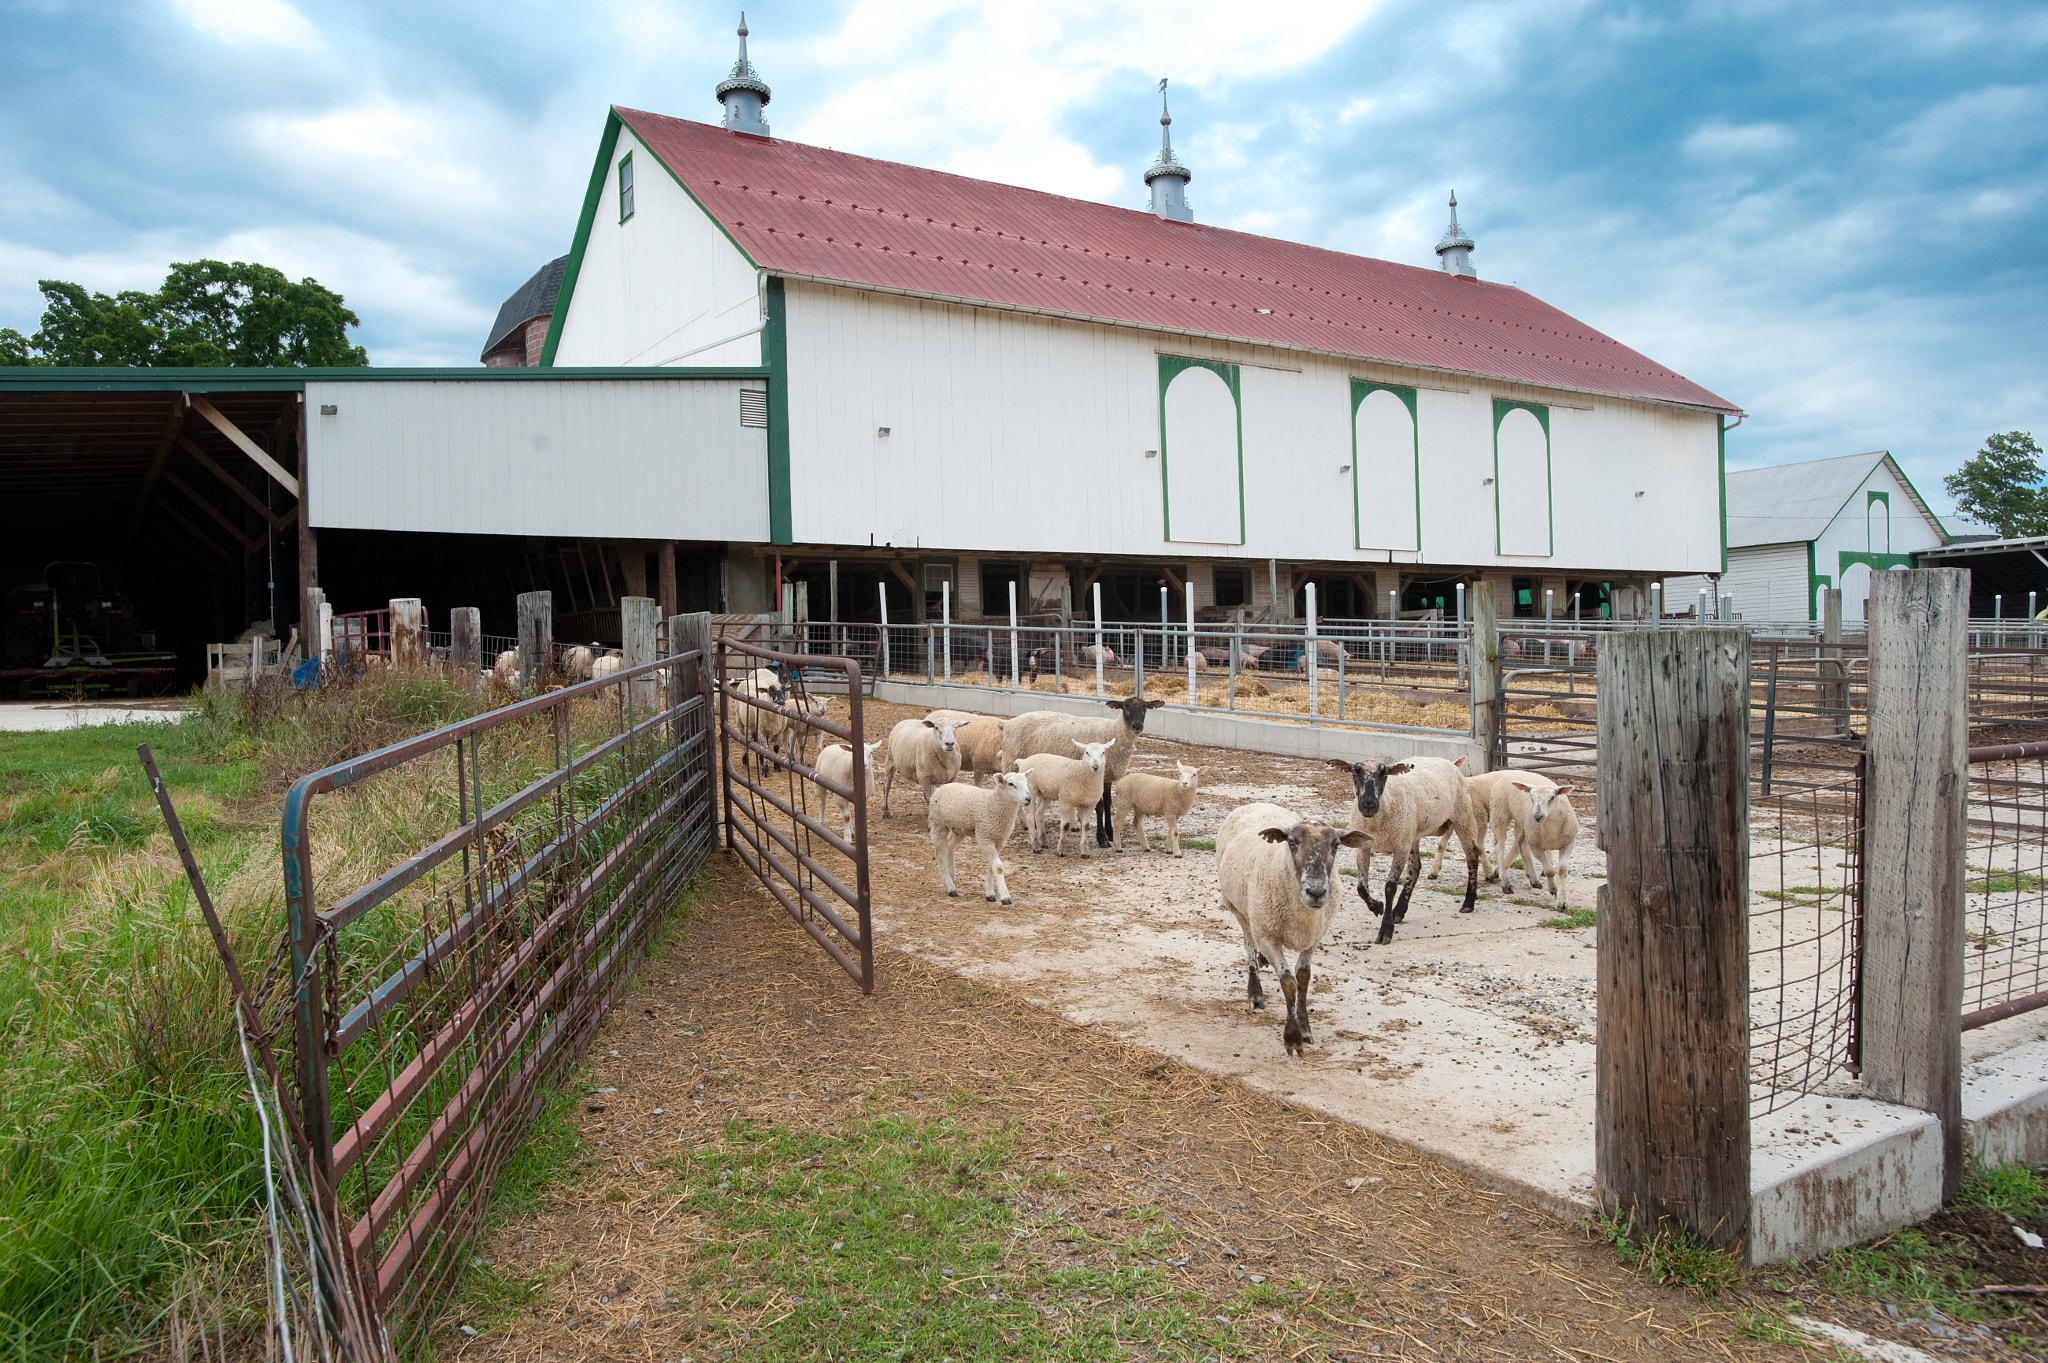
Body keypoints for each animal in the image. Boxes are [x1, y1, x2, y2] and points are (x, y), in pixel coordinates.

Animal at [995, 695, 1163, 843]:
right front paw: (1101, 838)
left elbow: (1108, 804)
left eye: (1145, 707)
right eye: (1125, 706)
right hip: (1010, 761)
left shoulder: (1106, 776)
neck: (1113, 731)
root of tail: (1007, 724)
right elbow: (1100, 807)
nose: (1137, 726)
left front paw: (1110, 834)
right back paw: (1024, 823)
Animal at [1204, 806, 1368, 1047]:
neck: (1303, 915)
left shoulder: (1314, 937)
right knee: (1249, 942)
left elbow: (1303, 977)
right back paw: (1255, 992)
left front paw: (1305, 1027)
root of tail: (1257, 803)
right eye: (1291, 842)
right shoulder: (1267, 936)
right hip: (1239, 908)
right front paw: (1292, 1035)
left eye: (1336, 845)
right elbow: (1288, 981)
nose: (1316, 892)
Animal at [1318, 749, 1482, 941]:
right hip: (1412, 834)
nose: (1368, 804)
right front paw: (1378, 907)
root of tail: (1450, 762)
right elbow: (1361, 888)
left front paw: (1385, 930)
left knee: (1472, 856)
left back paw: (1468, 902)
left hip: (1462, 816)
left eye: (1384, 774)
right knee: (1415, 867)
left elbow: (1390, 887)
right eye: (1354, 772)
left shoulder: (1400, 848)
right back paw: (1399, 911)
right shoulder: (1364, 847)